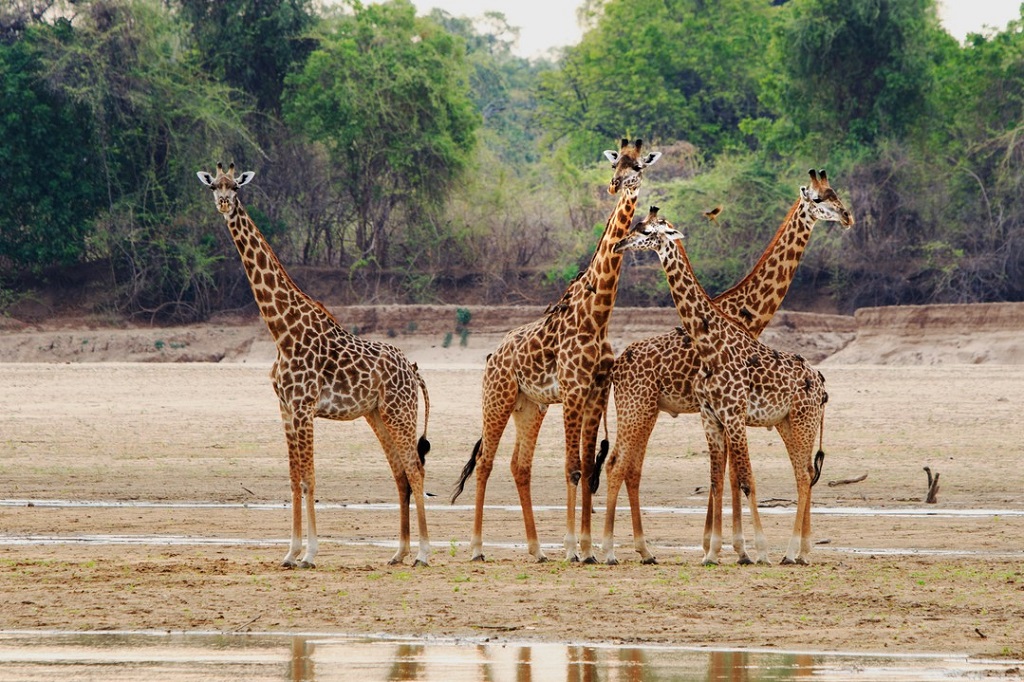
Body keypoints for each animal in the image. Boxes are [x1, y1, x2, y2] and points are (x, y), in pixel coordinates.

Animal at [196, 161, 432, 565]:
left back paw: (424, 553)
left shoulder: (305, 407)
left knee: (415, 470)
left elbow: (310, 478)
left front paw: (310, 553)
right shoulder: (286, 408)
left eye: (236, 187)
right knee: (400, 473)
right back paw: (398, 553)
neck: (280, 330)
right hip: (377, 414)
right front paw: (290, 552)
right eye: (214, 186)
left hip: (401, 411)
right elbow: (294, 478)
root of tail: (413, 370)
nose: (224, 204)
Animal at [450, 139, 663, 561]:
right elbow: (573, 467)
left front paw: (588, 548)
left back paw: (536, 549)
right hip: (497, 397)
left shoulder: (596, 392)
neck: (598, 315)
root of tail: (491, 355)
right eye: (616, 162)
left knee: (520, 466)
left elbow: (586, 465)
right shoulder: (573, 391)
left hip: (529, 406)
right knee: (484, 463)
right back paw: (478, 547)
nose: (616, 185)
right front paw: (572, 548)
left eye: (638, 167)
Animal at [602, 168, 851, 561]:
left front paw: (729, 546)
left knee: (630, 468)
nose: (847, 216)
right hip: (638, 408)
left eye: (833, 195)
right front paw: (731, 547)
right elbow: (730, 477)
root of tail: (616, 365)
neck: (743, 313)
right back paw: (603, 549)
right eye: (819, 198)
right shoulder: (718, 413)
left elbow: (730, 477)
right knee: (617, 465)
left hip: (649, 410)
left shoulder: (729, 414)